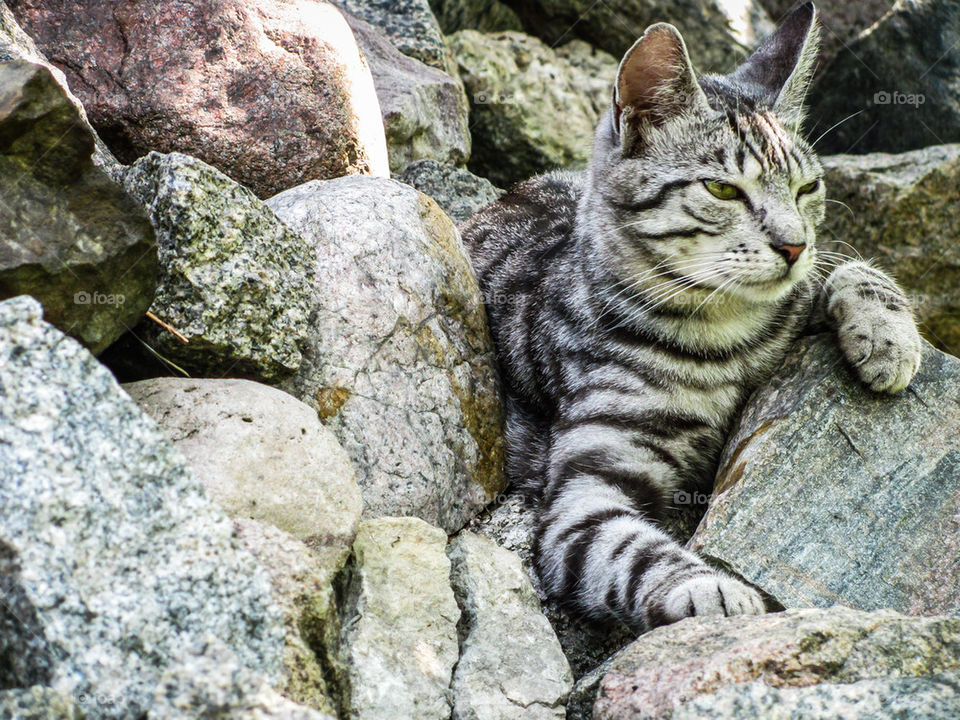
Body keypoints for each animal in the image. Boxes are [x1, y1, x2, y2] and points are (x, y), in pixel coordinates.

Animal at [458, 1, 924, 632]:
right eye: (722, 189)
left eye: (808, 188)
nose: (794, 244)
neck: (720, 336)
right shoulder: (586, 488)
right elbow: (626, 548)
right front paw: (710, 588)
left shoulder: (796, 297)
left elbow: (847, 268)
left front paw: (888, 335)